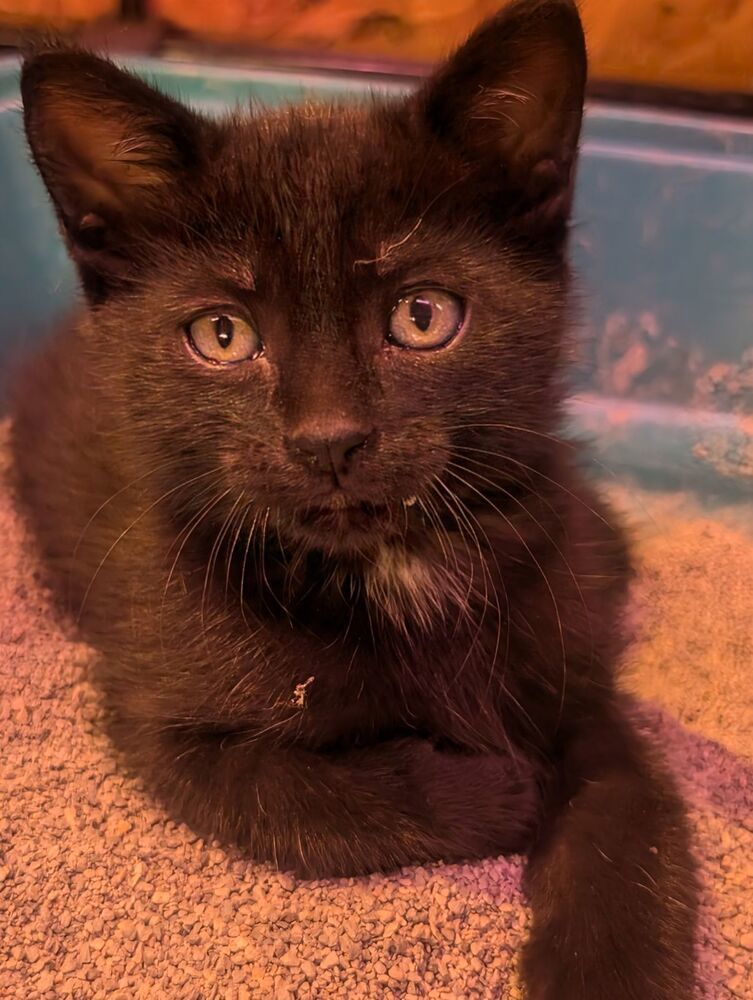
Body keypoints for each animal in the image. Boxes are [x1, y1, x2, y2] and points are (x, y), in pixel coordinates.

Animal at [11, 3, 696, 996]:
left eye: (422, 316)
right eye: (222, 335)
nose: (327, 438)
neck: (387, 566)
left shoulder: (574, 681)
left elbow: (626, 816)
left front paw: (609, 964)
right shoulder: (160, 716)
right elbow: (300, 796)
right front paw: (496, 788)